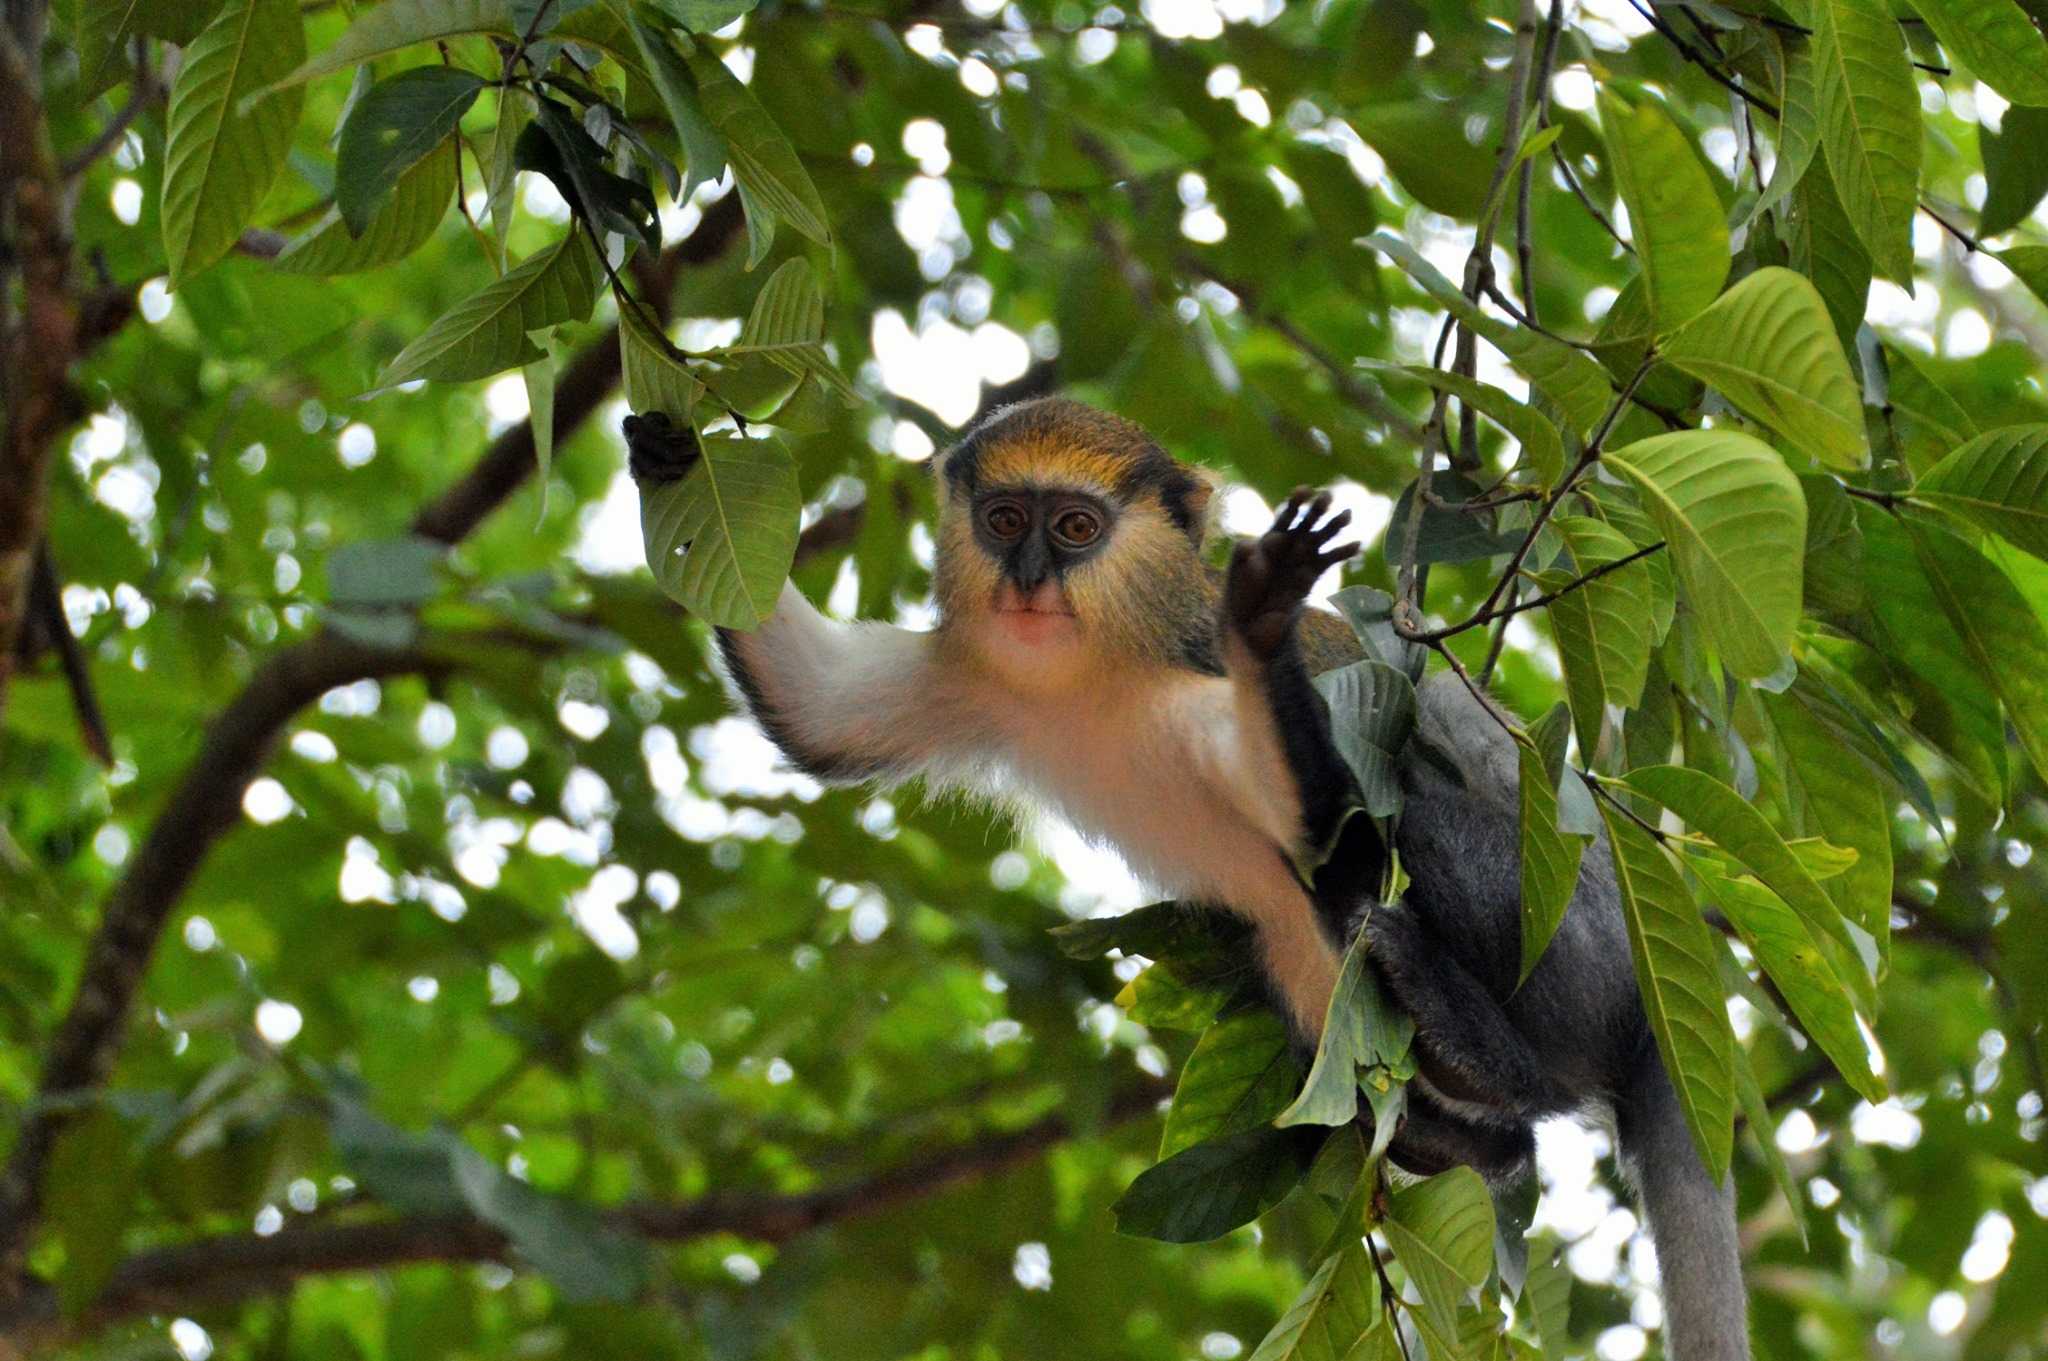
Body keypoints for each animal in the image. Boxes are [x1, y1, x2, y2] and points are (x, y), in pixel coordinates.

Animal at [622, 394, 1744, 1358]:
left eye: (1076, 527)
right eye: (1004, 519)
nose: (1029, 577)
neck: (1089, 669)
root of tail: (1653, 1007)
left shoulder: (1196, 675)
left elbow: (1329, 813)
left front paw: (1264, 610)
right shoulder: (973, 677)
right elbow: (817, 709)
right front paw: (668, 454)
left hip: (1561, 942)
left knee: (1390, 847)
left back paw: (1483, 1059)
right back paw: (1468, 1133)